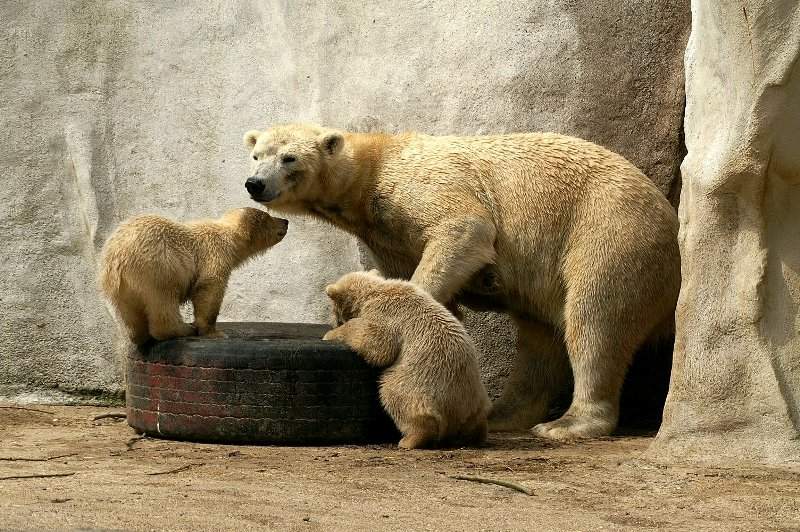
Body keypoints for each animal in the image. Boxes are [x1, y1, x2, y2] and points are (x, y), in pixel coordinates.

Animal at [99, 207, 288, 344]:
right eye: (268, 217)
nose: (285, 221)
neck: (228, 237)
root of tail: (116, 259)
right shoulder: (214, 254)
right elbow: (209, 288)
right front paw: (214, 332)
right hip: (158, 267)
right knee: (164, 299)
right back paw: (182, 329)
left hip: (120, 289)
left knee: (131, 313)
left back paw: (140, 336)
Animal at [322, 270, 491, 449]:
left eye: (333, 309)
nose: (333, 322)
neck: (375, 291)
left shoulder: (386, 314)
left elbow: (376, 344)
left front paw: (330, 334)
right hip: (475, 398)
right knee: (477, 421)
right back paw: (476, 435)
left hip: (420, 380)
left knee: (395, 393)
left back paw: (410, 439)